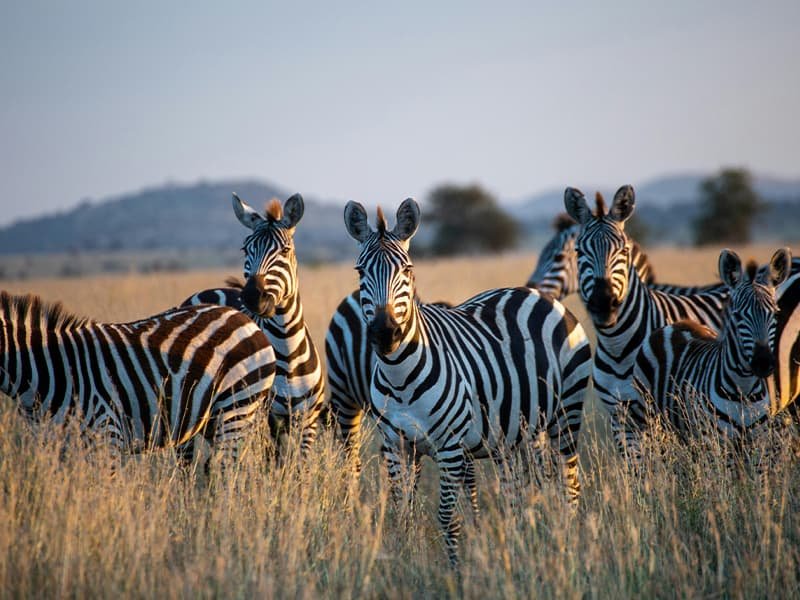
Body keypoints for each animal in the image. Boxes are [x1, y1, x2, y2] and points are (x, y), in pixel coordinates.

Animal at [183, 193, 325, 455]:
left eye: (285, 250)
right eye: (245, 248)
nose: (251, 296)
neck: (288, 350)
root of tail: (208, 291)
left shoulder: (307, 422)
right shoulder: (264, 422)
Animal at [343, 198, 592, 566]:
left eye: (408, 270)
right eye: (360, 272)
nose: (386, 334)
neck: (399, 376)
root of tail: (540, 296)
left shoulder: (449, 446)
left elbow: (447, 516)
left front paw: (455, 570)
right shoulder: (396, 445)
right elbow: (403, 513)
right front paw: (404, 561)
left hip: (566, 414)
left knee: (569, 484)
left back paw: (569, 544)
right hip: (520, 433)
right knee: (521, 491)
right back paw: (523, 543)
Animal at [564, 185, 731, 456]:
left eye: (624, 250)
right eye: (579, 252)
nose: (603, 304)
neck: (617, 346)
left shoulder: (660, 417)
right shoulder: (620, 418)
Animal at [625, 248, 791, 465]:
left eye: (776, 314)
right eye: (737, 315)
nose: (763, 363)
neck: (744, 390)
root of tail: (675, 324)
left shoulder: (760, 444)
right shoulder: (716, 445)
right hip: (647, 418)